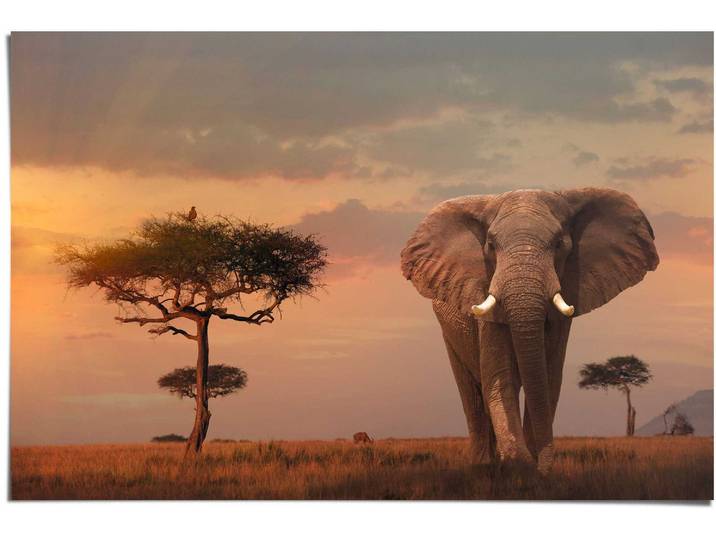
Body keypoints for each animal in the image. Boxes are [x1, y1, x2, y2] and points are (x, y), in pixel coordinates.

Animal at [400, 188, 658, 474]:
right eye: (491, 245)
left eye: (559, 244)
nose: (543, 467)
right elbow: (501, 376)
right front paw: (518, 464)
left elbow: (548, 376)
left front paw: (532, 467)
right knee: (472, 395)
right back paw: (483, 465)